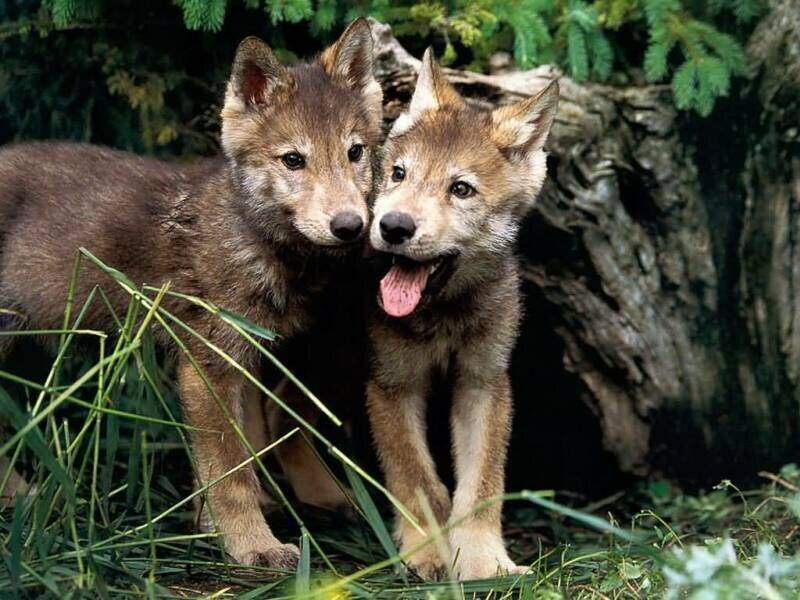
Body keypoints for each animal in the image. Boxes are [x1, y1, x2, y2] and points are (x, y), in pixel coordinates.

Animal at [0, 18, 382, 569]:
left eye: (355, 153)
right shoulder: (207, 363)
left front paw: (224, 524)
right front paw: (251, 545)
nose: (350, 226)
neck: (255, 242)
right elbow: (229, 473)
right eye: (293, 160)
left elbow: (245, 451)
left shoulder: (251, 355)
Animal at [366, 49, 558, 580]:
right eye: (399, 174)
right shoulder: (392, 385)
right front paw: (426, 553)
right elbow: (417, 479)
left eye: (461, 189)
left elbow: (481, 486)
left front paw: (482, 561)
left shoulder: (484, 382)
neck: (444, 316)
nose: (393, 226)